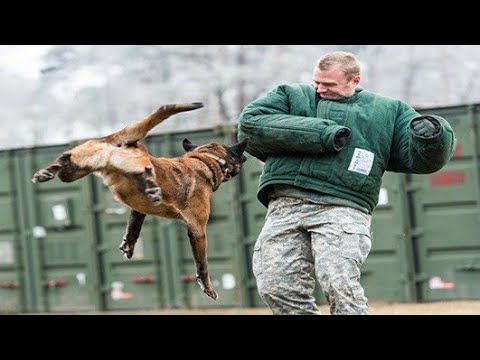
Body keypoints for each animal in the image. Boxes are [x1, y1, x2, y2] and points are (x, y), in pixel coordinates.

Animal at [31, 102, 248, 300]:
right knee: (145, 169)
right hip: (135, 161)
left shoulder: (138, 210)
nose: (245, 158)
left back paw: (47, 172)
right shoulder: (198, 229)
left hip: (77, 169)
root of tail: (122, 140)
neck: (204, 160)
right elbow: (202, 264)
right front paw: (207, 286)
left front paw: (128, 244)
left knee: (65, 160)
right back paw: (151, 185)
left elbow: (133, 227)